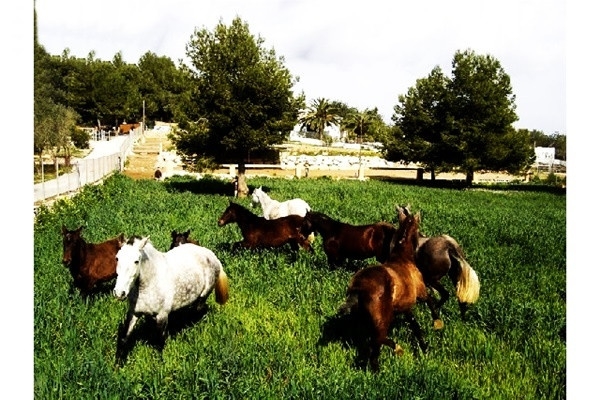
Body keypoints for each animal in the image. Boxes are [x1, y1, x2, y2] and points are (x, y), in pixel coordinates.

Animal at [338, 209, 440, 372]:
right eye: (418, 226)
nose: (424, 236)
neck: (403, 258)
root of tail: (358, 288)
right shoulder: (420, 293)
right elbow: (430, 302)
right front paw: (437, 323)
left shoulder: (406, 307)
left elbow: (415, 327)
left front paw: (424, 347)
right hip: (382, 321)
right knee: (375, 349)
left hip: (368, 321)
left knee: (374, 339)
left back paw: (397, 348)